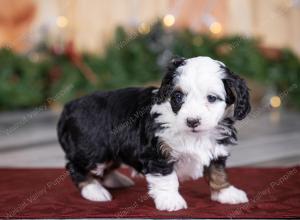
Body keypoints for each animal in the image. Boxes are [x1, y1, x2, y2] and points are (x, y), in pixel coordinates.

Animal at [57, 55, 250, 211]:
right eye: (178, 97)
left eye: (211, 98)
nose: (192, 121)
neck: (194, 135)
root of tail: (69, 107)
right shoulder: (157, 153)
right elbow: (167, 178)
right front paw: (171, 200)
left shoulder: (216, 148)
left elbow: (217, 171)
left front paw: (226, 192)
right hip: (93, 150)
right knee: (76, 167)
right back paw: (94, 190)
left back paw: (115, 180)